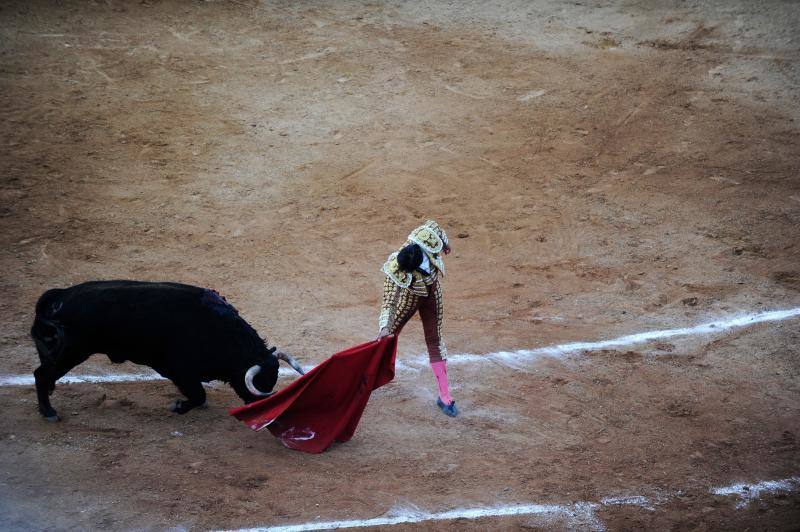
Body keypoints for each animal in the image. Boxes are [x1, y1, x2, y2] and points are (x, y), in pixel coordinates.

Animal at [30, 280, 304, 422]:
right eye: (259, 384)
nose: (263, 410)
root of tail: (62, 295)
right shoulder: (179, 370)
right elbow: (198, 395)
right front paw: (179, 406)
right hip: (72, 351)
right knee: (41, 374)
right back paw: (49, 412)